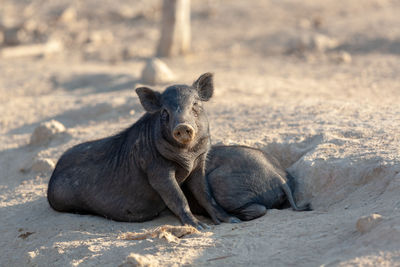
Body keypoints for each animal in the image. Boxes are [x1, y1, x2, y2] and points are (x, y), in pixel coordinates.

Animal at [48, 74, 239, 230]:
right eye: (164, 111)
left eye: (195, 105)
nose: (182, 126)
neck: (187, 155)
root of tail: (52, 177)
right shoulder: (156, 169)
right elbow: (178, 197)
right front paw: (200, 227)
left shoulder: (199, 164)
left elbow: (206, 194)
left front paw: (232, 220)